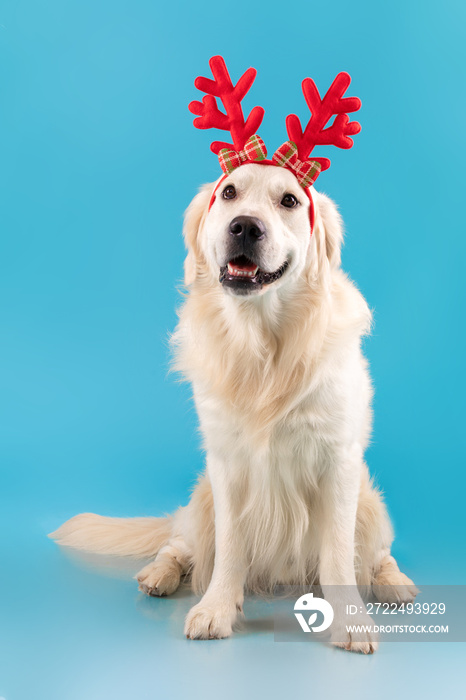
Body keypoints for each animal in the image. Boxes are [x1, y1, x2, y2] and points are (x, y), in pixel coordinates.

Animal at [51, 161, 418, 652]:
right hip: (201, 498)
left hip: (371, 505)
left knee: (378, 554)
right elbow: (229, 548)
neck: (262, 344)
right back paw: (159, 574)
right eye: (229, 193)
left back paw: (395, 582)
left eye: (289, 201)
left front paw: (351, 621)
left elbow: (340, 558)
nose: (245, 226)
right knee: (178, 544)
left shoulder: (339, 462)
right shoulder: (225, 463)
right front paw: (217, 608)